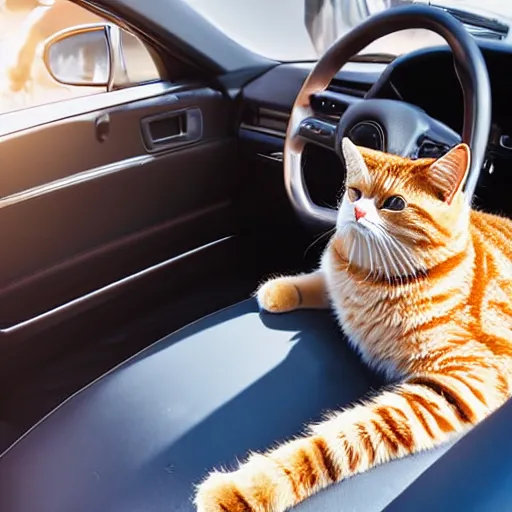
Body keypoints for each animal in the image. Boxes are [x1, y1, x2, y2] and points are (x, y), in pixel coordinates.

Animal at [194, 138, 510, 510]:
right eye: (355, 193)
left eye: (395, 203)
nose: (357, 211)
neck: (373, 280)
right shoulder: (339, 278)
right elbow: (321, 280)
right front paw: (280, 290)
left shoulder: (457, 384)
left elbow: (337, 443)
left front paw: (251, 488)